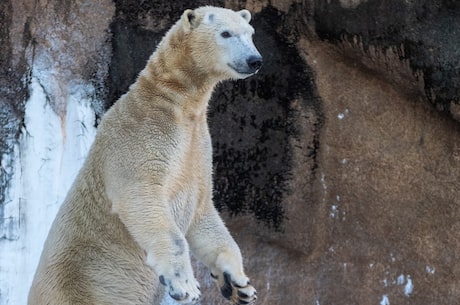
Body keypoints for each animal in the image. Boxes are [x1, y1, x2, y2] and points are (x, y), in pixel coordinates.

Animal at [27, 4, 260, 304]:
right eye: (226, 33)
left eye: (250, 33)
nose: (255, 60)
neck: (172, 101)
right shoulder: (141, 135)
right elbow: (141, 198)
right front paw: (184, 283)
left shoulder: (198, 147)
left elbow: (203, 214)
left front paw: (239, 284)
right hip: (78, 285)